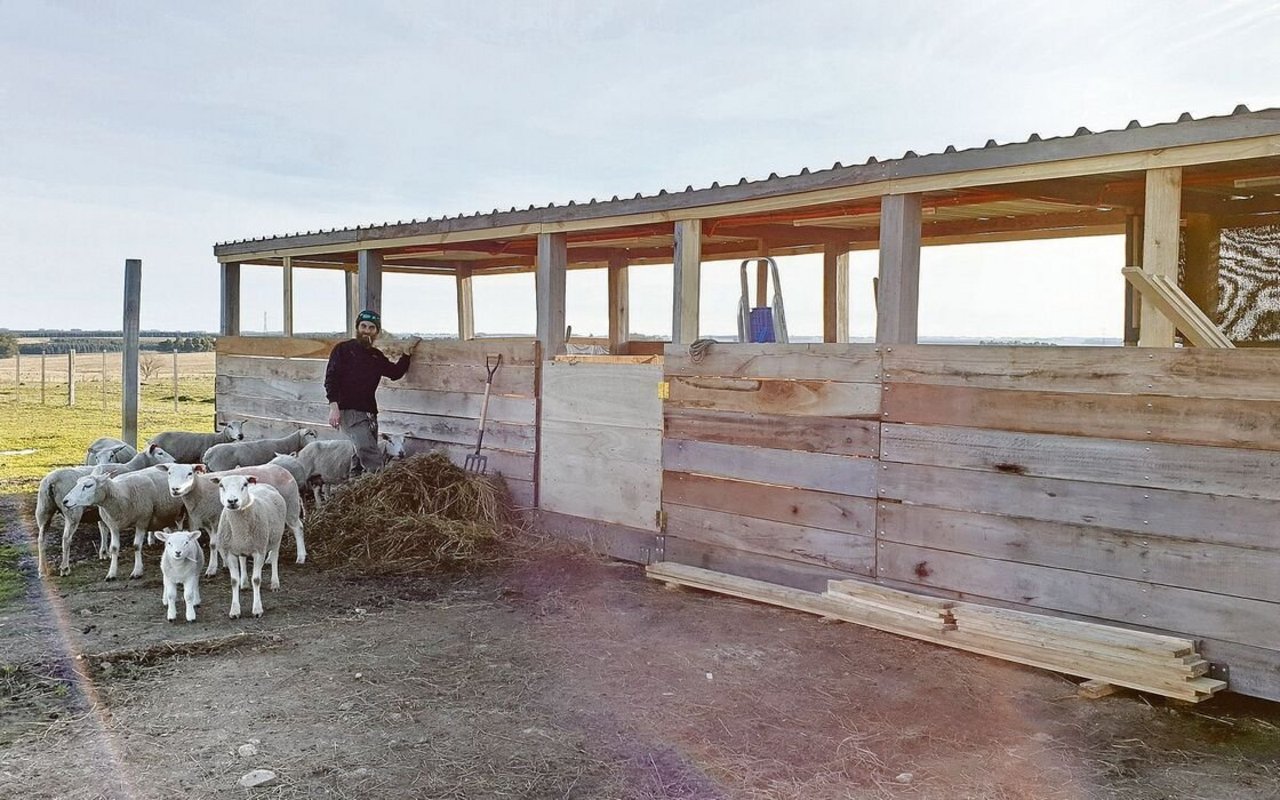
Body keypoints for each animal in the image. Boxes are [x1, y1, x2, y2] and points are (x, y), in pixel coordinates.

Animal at [35, 442, 176, 573]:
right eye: (160, 453)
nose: (174, 461)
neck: (131, 467)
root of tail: (51, 481)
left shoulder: (103, 509)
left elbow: (103, 529)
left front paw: (104, 553)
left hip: (43, 510)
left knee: (41, 539)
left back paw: (42, 569)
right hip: (72, 512)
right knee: (66, 539)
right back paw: (65, 568)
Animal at [158, 458, 305, 570]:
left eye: (190, 473)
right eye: (169, 473)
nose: (175, 489)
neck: (200, 490)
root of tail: (283, 470)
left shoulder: (216, 519)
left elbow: (214, 544)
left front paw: (212, 568)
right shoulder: (204, 520)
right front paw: (224, 563)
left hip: (291, 505)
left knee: (298, 527)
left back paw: (301, 557)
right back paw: (269, 559)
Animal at [209, 473, 285, 616]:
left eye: (244, 484)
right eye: (221, 485)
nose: (232, 501)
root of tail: (263, 484)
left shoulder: (259, 551)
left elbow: (256, 579)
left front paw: (257, 609)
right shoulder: (228, 552)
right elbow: (233, 581)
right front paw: (234, 610)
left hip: (277, 538)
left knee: (275, 558)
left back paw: (275, 583)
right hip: (242, 547)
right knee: (243, 560)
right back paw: (244, 583)